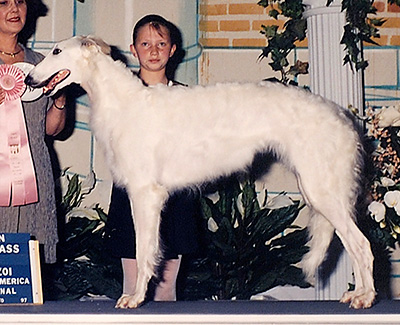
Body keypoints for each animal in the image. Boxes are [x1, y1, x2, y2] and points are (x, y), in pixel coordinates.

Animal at [25, 36, 376, 308]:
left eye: (56, 51)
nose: (28, 80)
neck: (123, 102)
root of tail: (343, 118)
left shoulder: (145, 193)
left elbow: (143, 251)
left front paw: (135, 298)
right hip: (318, 191)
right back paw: (356, 294)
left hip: (322, 191)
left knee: (362, 246)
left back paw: (366, 297)